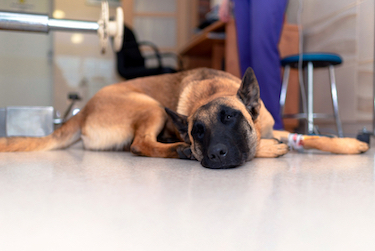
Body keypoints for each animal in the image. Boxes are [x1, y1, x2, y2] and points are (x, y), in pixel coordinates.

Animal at [0, 67, 370, 168]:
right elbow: (262, 146)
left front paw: (349, 143)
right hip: (149, 105)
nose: (215, 155)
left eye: (231, 117)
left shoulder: (272, 124)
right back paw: (175, 149)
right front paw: (271, 148)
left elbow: (312, 136)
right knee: (139, 145)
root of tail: (84, 110)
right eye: (198, 131)